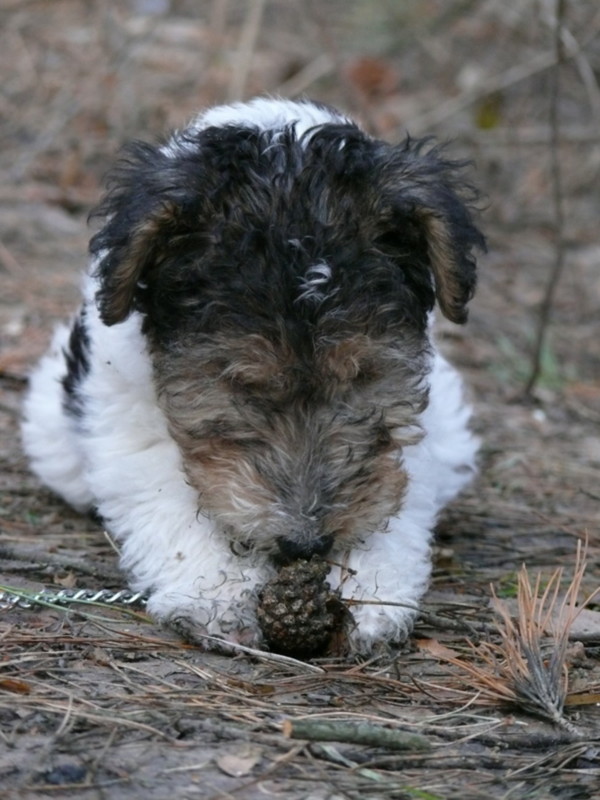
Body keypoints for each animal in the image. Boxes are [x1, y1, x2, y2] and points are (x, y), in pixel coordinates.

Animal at [21, 95, 486, 656]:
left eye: (362, 375)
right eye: (241, 382)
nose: (306, 543)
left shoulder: (410, 432)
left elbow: (394, 490)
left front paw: (374, 593)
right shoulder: (129, 423)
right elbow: (168, 494)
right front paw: (216, 596)